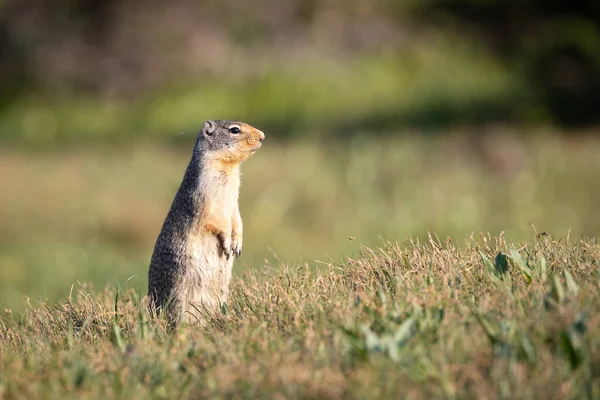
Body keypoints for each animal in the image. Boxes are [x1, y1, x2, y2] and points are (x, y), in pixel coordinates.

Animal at [148, 119, 264, 324]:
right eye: (234, 130)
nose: (263, 136)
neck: (229, 167)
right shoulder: (208, 193)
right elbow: (217, 219)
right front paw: (228, 244)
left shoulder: (233, 202)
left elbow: (237, 218)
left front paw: (238, 244)